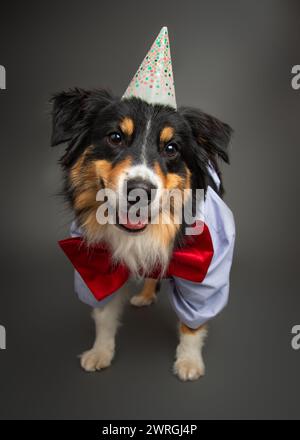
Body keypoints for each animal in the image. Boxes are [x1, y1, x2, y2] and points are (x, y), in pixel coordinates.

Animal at [51, 87, 234, 380]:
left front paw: (189, 361)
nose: (140, 191)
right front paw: (100, 351)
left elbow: (193, 323)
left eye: (171, 148)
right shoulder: (96, 266)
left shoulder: (205, 269)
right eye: (115, 137)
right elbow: (104, 314)